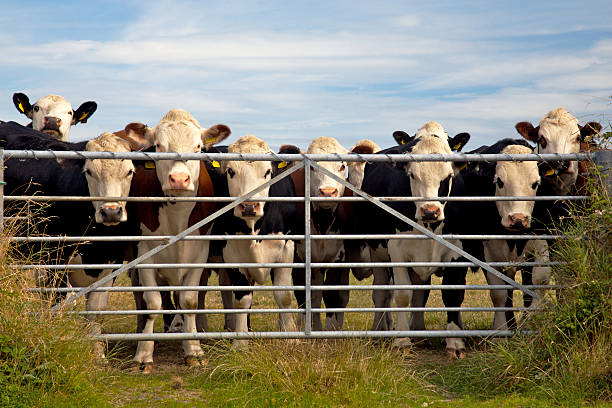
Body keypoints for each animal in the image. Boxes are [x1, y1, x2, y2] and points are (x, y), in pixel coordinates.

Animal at [0, 120, 141, 356]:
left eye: (129, 171)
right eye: (89, 172)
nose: (111, 212)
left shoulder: (111, 262)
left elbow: (95, 311)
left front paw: (98, 355)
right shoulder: (54, 260)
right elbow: (55, 304)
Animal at [120, 109, 231, 372]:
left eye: (198, 146)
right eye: (159, 146)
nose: (179, 179)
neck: (177, 217)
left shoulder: (199, 253)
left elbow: (189, 300)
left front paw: (194, 350)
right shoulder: (144, 254)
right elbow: (152, 303)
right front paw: (144, 354)